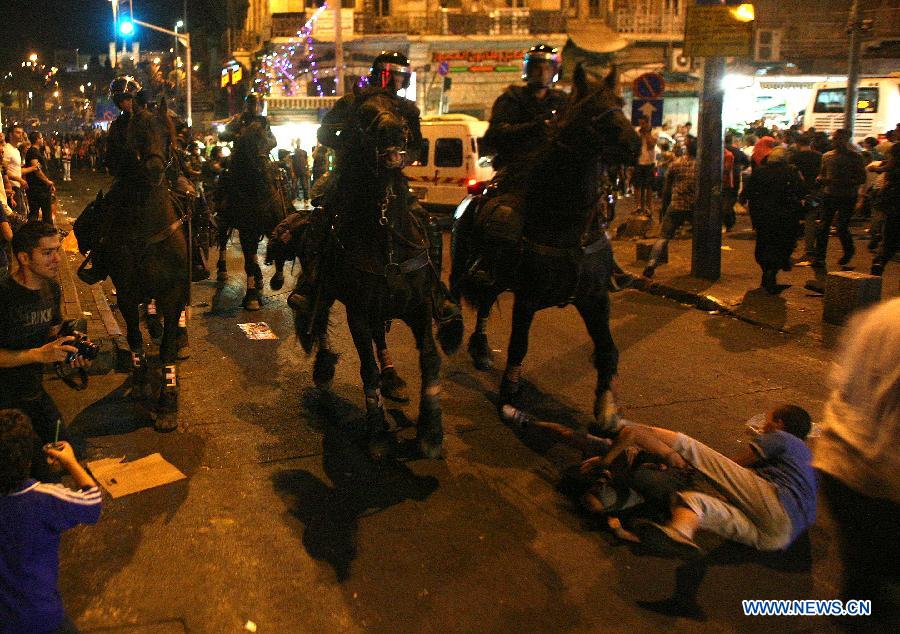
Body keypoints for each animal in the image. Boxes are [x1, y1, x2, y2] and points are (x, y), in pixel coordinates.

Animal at [105, 101, 190, 432]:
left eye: (168, 137)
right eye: (138, 136)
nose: (155, 171)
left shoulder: (173, 291)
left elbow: (166, 347)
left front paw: (168, 402)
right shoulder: (127, 292)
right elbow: (134, 337)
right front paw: (140, 381)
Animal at [216, 121, 290, 308]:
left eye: (270, 138)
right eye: (246, 145)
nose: (262, 169)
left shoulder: (273, 226)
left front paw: (276, 280)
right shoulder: (246, 230)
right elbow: (248, 262)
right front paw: (251, 298)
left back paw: (259, 278)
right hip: (224, 221)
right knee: (223, 241)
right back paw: (223, 271)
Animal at [290, 89, 460, 456]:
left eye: (400, 110)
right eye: (364, 114)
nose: (394, 131)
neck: (385, 234)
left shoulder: (419, 306)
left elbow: (430, 358)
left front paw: (430, 432)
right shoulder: (357, 311)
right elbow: (367, 368)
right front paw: (377, 433)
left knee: (381, 335)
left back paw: (393, 378)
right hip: (331, 295)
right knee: (319, 320)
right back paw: (324, 367)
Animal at [454, 65, 636, 424]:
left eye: (621, 103)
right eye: (590, 109)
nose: (635, 145)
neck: (567, 224)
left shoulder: (595, 298)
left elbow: (608, 349)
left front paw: (607, 406)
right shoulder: (527, 297)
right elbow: (518, 345)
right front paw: (509, 396)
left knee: (486, 301)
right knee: (480, 300)